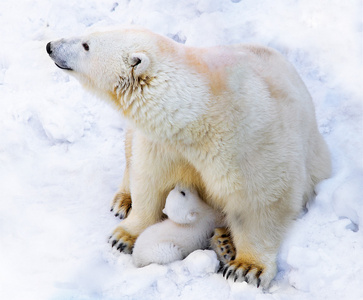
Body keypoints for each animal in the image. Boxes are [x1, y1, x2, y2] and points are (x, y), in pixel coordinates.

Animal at [47, 27, 332, 288]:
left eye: (86, 44)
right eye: (87, 33)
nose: (50, 45)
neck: (200, 116)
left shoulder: (253, 141)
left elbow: (262, 200)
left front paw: (247, 267)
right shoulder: (163, 144)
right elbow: (149, 180)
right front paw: (123, 236)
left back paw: (225, 241)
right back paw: (123, 202)